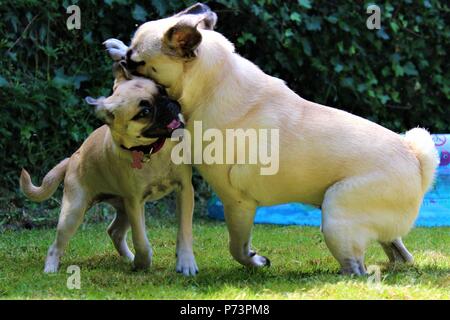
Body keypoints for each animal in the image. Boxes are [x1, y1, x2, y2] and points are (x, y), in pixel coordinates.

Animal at [18, 67, 199, 276]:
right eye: (144, 112)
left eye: (161, 90)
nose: (169, 104)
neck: (150, 151)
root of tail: (71, 159)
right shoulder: (135, 203)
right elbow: (141, 241)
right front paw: (143, 262)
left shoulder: (184, 190)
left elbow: (184, 230)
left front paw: (185, 262)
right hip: (73, 212)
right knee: (57, 245)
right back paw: (51, 267)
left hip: (123, 210)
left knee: (115, 232)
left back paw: (129, 258)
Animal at [106, 3, 440, 276]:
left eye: (138, 62)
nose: (124, 63)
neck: (212, 83)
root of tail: (416, 160)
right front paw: (114, 47)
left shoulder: (237, 202)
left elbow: (238, 248)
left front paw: (255, 261)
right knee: (397, 248)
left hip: (336, 213)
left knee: (356, 265)